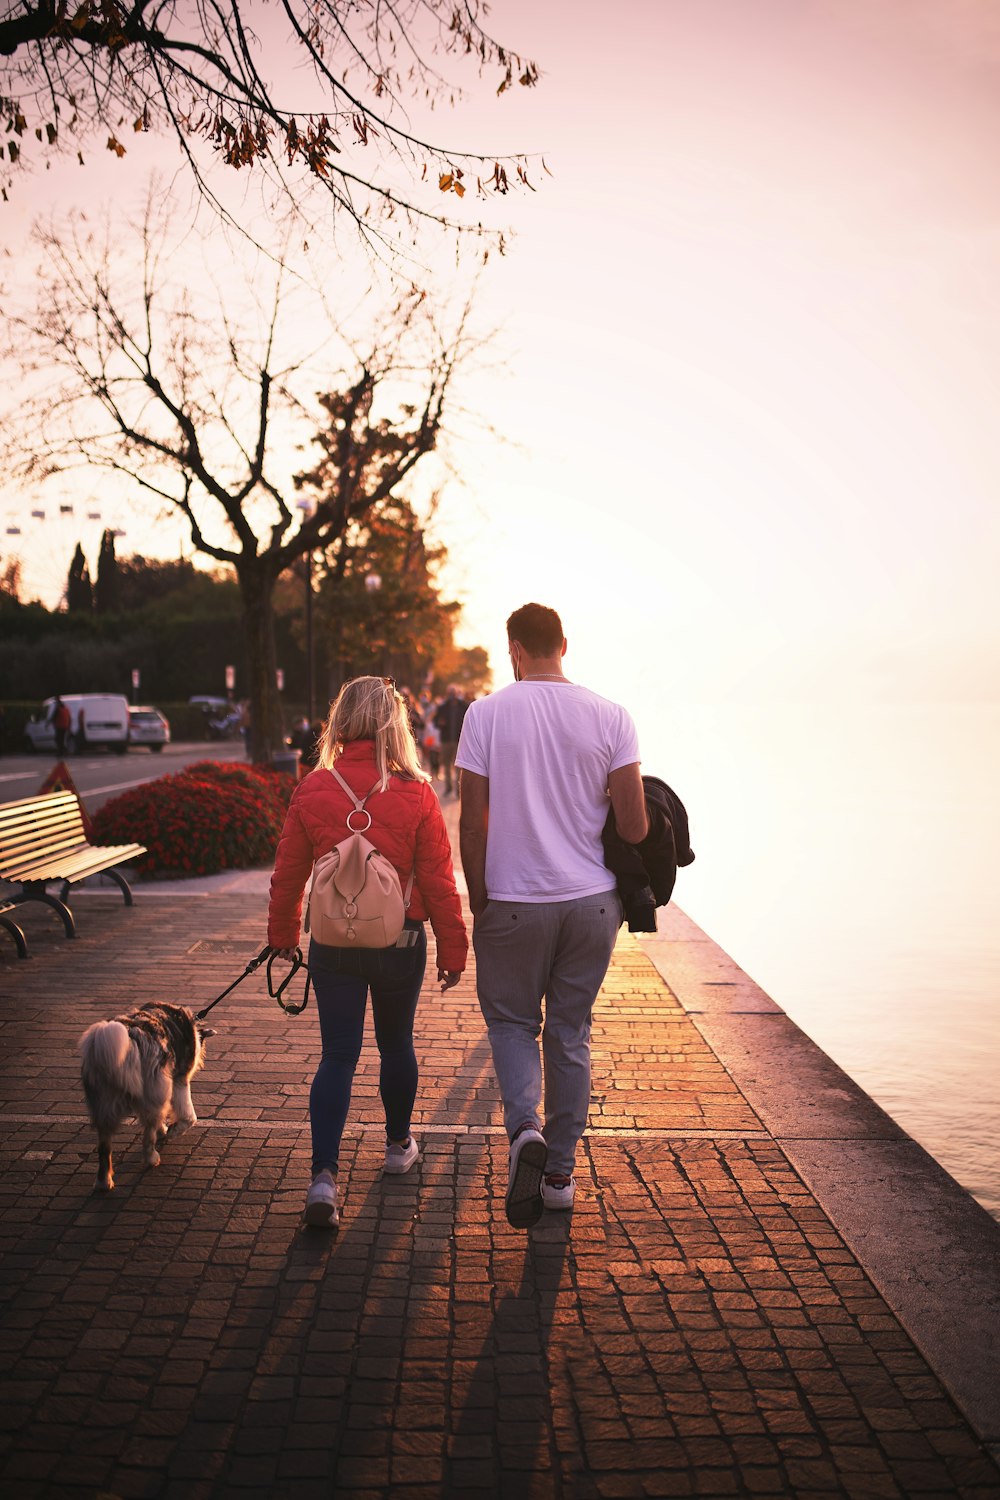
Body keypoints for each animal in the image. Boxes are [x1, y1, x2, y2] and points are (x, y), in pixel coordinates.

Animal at [79, 1002, 215, 1188]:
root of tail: (130, 1036)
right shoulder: (179, 1079)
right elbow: (189, 1116)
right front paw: (172, 1130)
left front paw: (165, 1129)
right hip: (154, 1089)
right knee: (148, 1135)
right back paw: (151, 1158)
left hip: (104, 1101)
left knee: (104, 1146)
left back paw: (103, 1181)